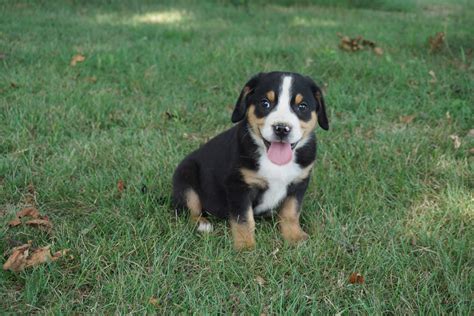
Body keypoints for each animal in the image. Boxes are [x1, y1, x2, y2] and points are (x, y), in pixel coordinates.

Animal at [172, 71, 328, 249]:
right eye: (265, 103)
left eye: (302, 106)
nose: (282, 128)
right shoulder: (238, 186)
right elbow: (244, 219)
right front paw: (245, 246)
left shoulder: (299, 182)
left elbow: (291, 211)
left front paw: (294, 236)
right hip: (186, 175)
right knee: (189, 209)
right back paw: (202, 224)